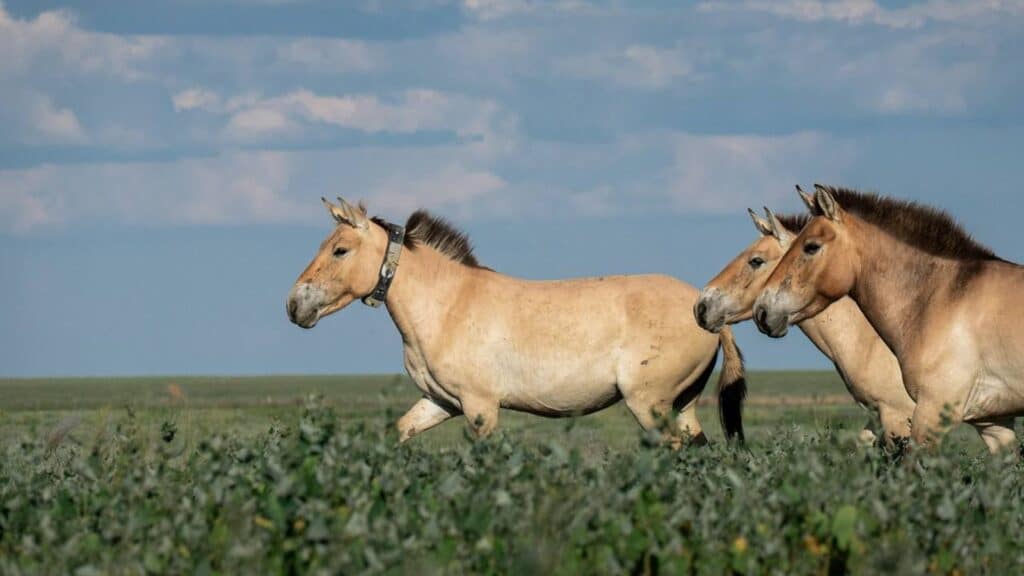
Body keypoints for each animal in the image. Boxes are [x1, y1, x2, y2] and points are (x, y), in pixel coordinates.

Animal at [287, 197, 747, 446]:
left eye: (340, 250)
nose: (294, 305)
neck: (447, 306)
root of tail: (704, 309)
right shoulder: (439, 402)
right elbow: (398, 433)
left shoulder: (480, 408)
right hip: (681, 404)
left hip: (650, 405)